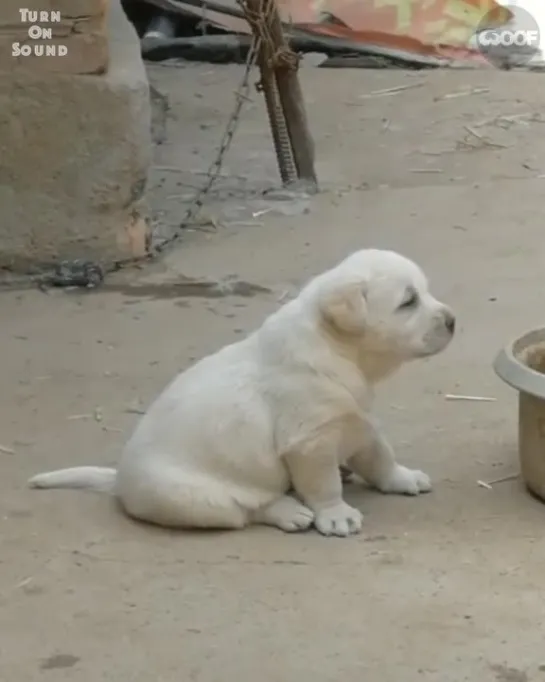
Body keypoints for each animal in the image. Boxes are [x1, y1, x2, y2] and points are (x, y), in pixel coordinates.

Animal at [29, 247, 454, 532]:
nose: (452, 320)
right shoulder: (310, 442)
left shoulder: (357, 421)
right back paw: (291, 511)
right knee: (250, 508)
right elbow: (323, 483)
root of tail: (118, 480)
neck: (338, 350)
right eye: (408, 302)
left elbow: (379, 456)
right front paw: (336, 515)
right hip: (197, 500)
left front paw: (402, 478)